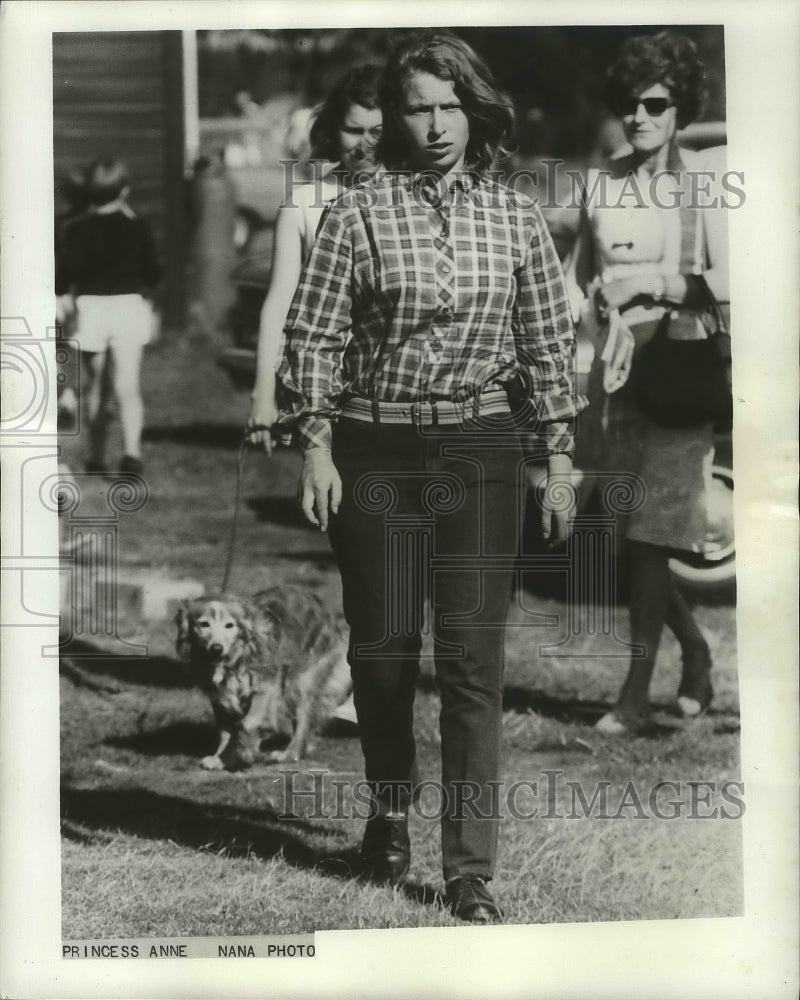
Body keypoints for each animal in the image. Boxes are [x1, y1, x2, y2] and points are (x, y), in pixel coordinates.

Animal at [175, 588, 350, 768]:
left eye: (229, 625)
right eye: (204, 624)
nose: (217, 648)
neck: (234, 661)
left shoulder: (265, 687)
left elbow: (247, 723)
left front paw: (244, 753)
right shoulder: (219, 696)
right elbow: (225, 731)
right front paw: (221, 757)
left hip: (296, 682)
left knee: (303, 718)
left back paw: (290, 753)